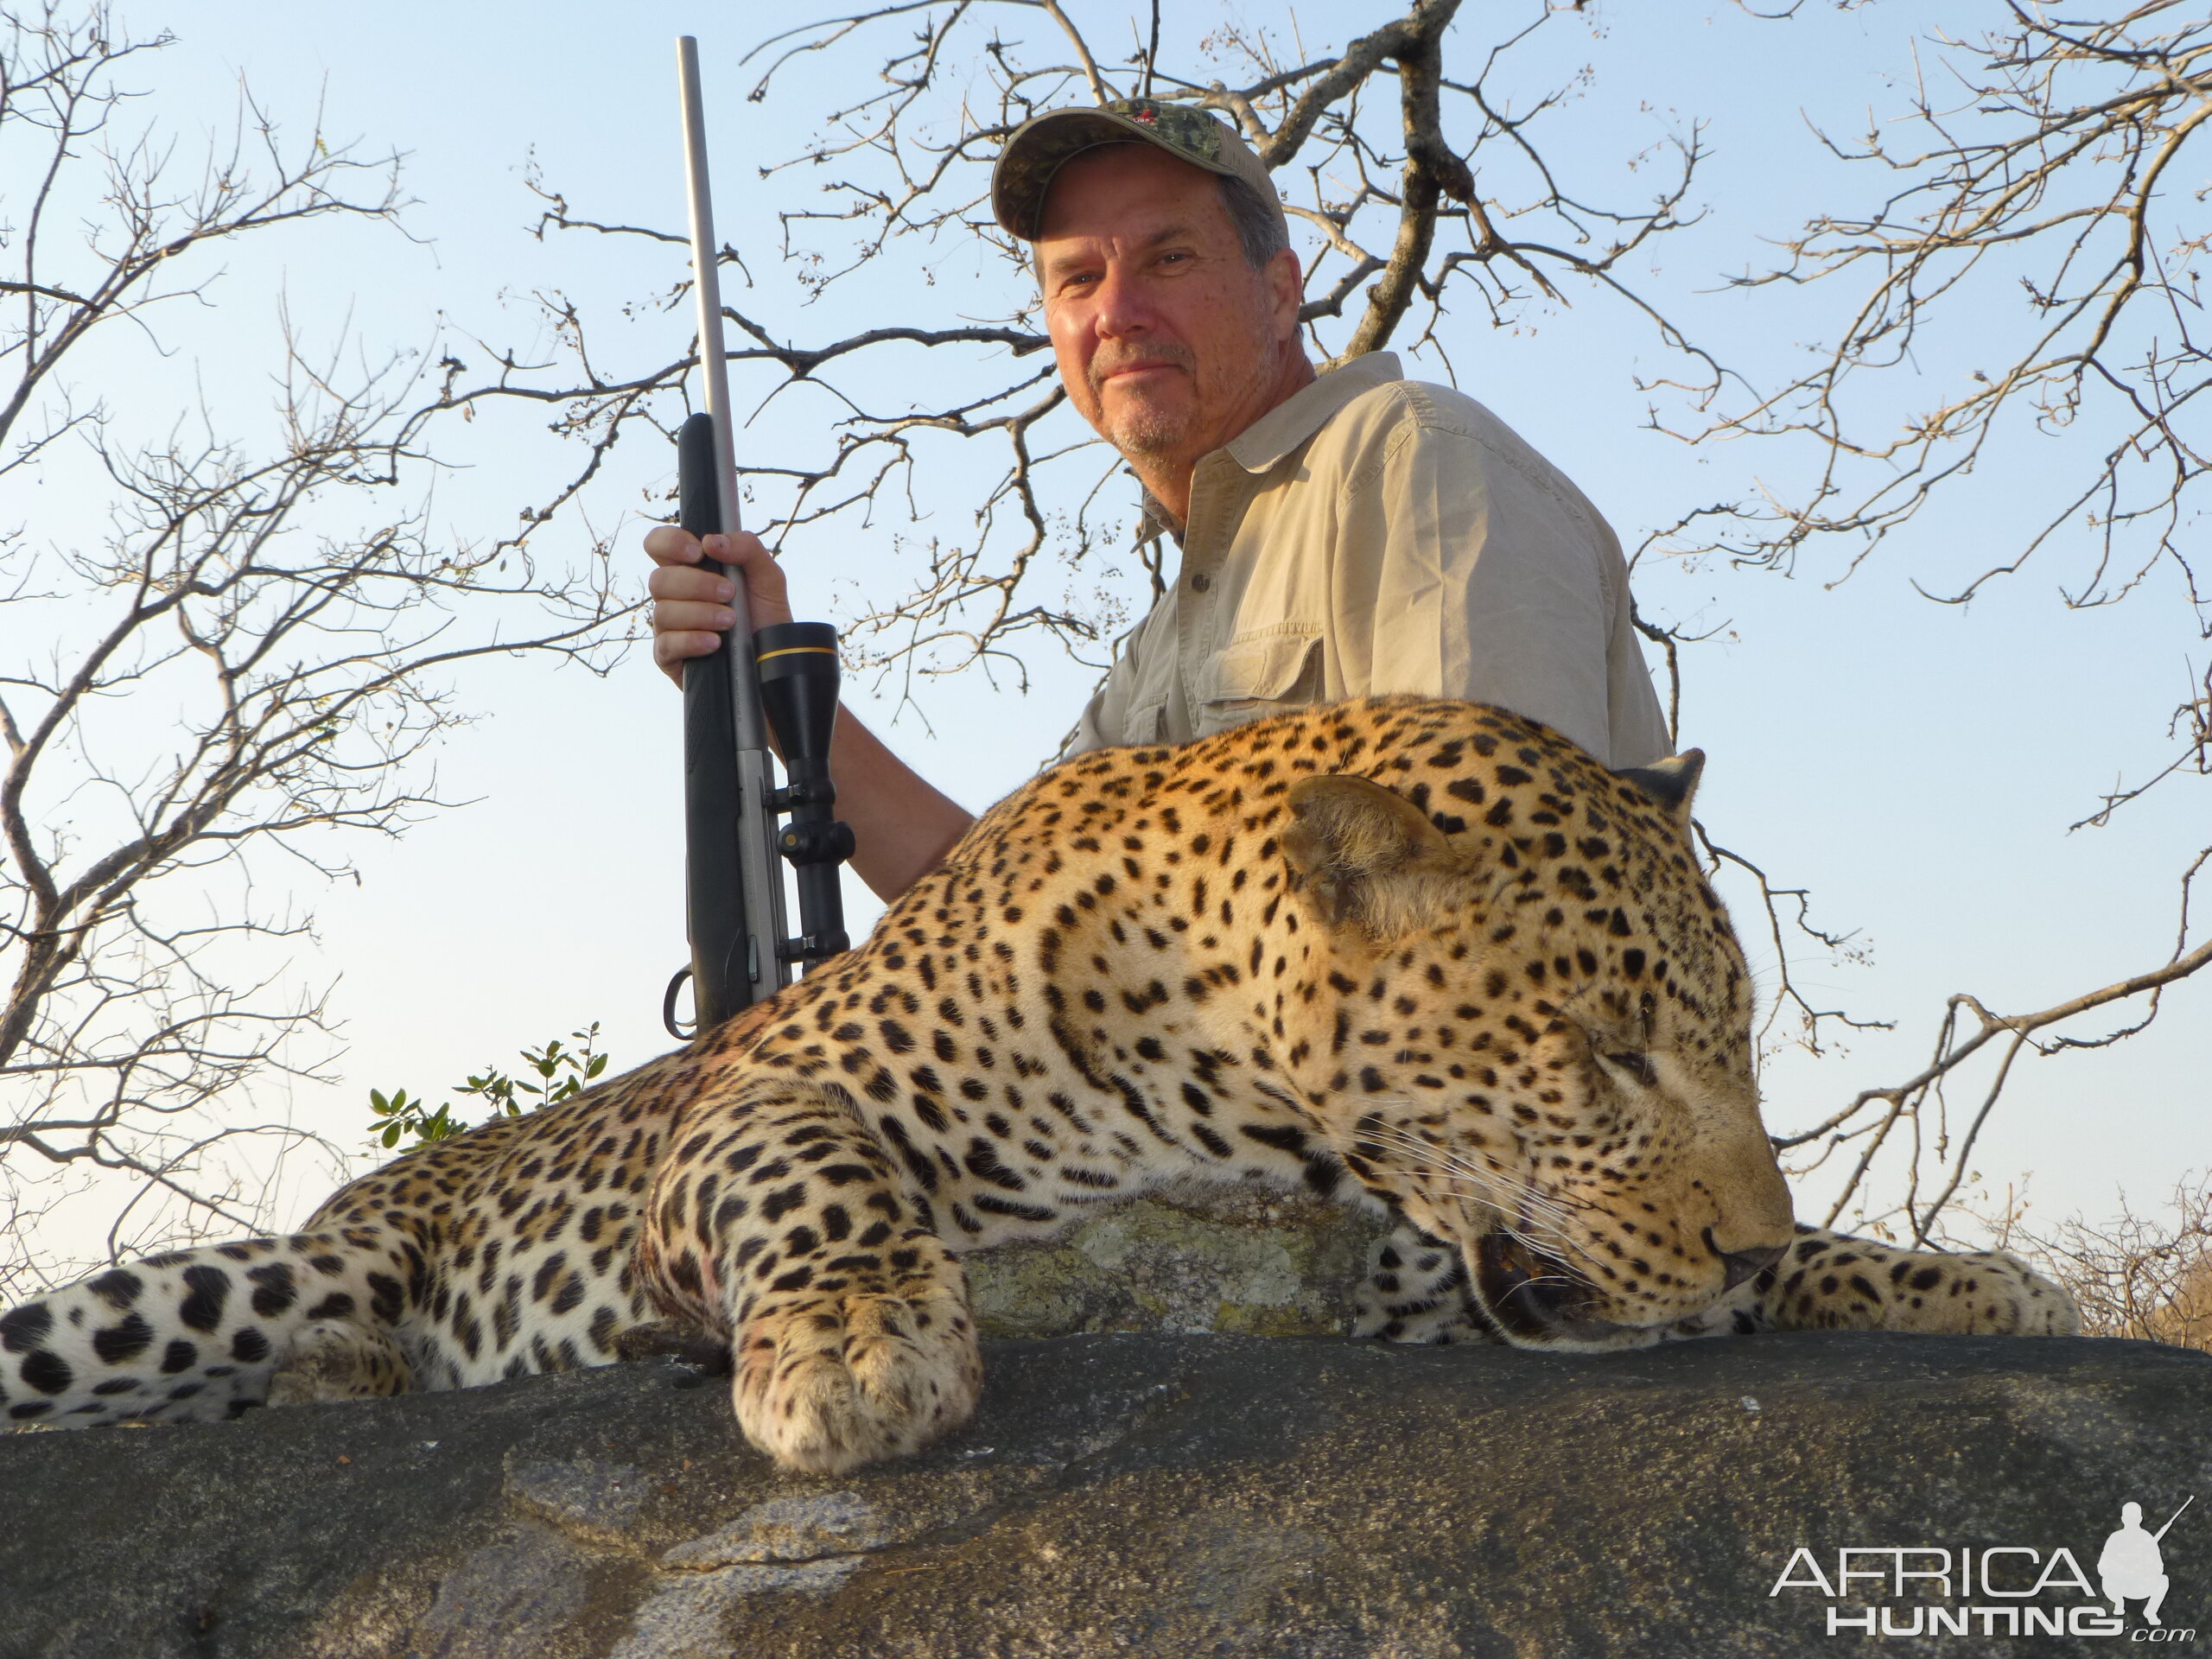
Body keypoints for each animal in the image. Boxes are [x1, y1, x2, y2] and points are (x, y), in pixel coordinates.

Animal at [0, 694, 2070, 1478]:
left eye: (1733, 1045)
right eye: (1606, 1050)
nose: (1740, 1255)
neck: (1234, 1100)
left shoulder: (1402, 1267)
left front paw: (1930, 1274)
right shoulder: (747, 1099)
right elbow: (811, 1167)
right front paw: (856, 1350)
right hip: (264, 1264)